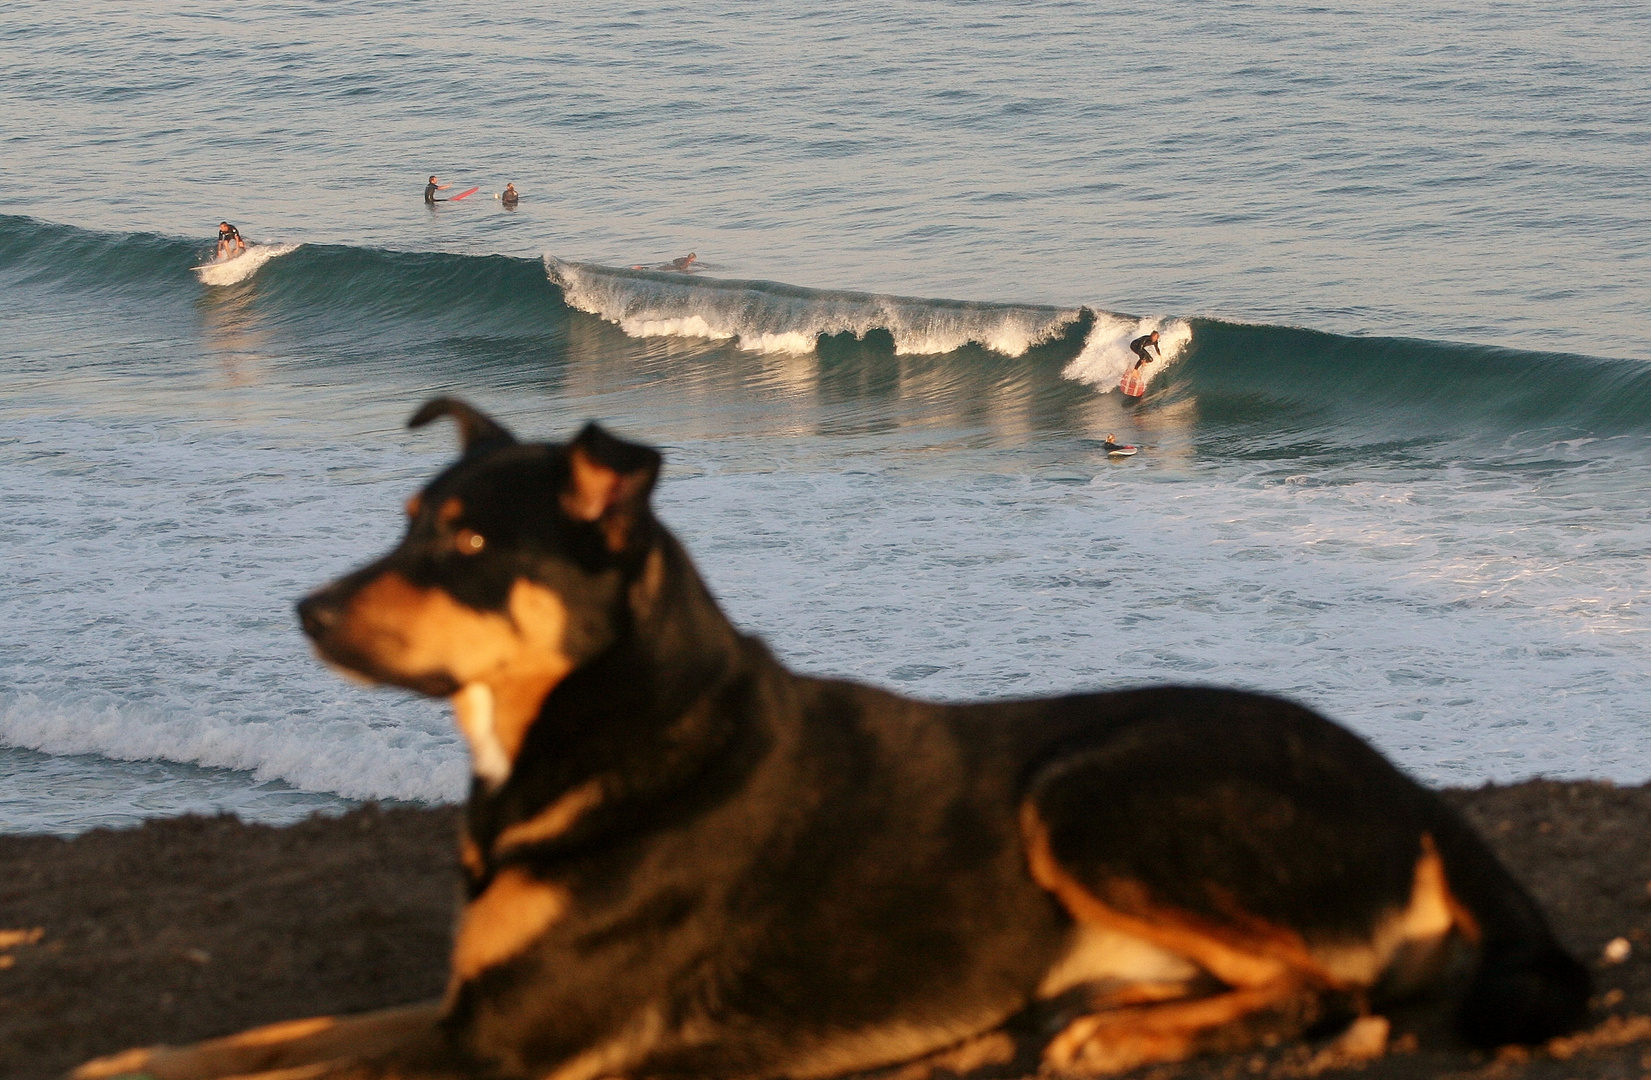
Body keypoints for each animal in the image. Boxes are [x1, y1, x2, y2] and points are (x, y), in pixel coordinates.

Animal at [77, 399, 1584, 1080]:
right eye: (404, 521)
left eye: (465, 544)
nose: (302, 611)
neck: (602, 733)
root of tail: (1416, 792)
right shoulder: (464, 1009)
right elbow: (261, 1033)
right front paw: (133, 1058)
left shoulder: (501, 1044)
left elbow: (304, 1053)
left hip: (1094, 789)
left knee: (1337, 991)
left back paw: (1112, 1035)